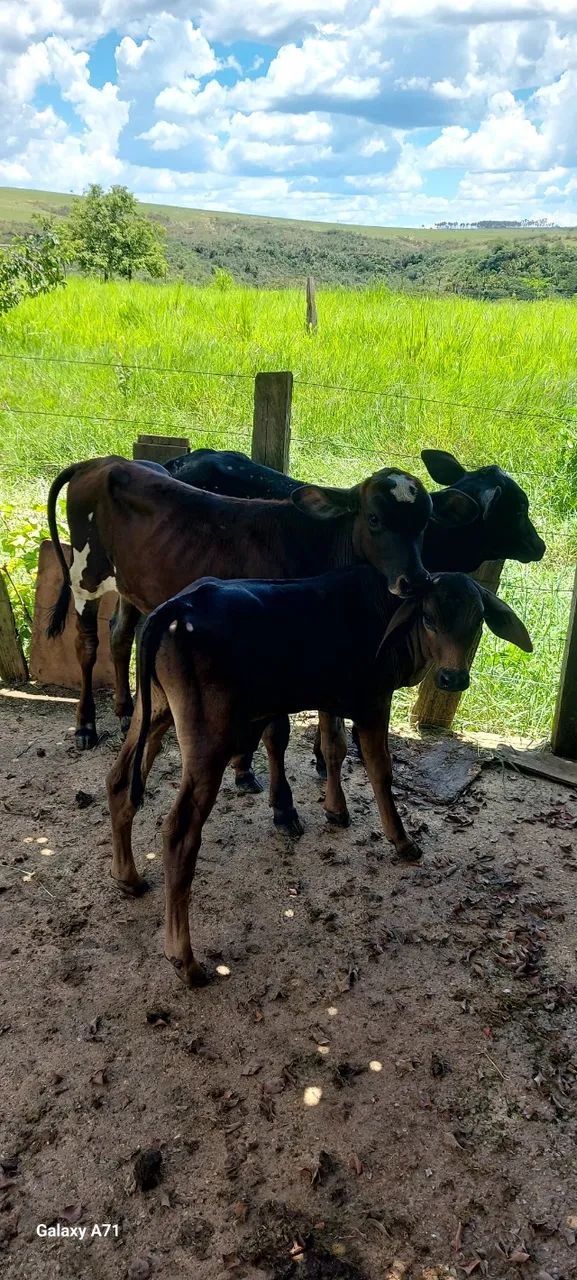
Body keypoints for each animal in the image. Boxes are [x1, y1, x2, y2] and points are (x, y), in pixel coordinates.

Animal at [47, 458, 459, 828]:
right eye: (374, 518)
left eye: (423, 524)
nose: (416, 579)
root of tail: (100, 462)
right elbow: (277, 735)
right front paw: (283, 807)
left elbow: (322, 733)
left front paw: (251, 774)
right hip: (85, 576)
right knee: (88, 645)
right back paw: (85, 726)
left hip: (128, 585)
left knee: (119, 636)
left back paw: (125, 710)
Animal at [106, 566, 532, 987]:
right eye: (428, 618)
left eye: (477, 620)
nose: (452, 679)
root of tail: (174, 608)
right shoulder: (373, 702)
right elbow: (379, 768)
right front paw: (401, 839)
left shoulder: (332, 698)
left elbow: (333, 747)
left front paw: (336, 810)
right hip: (208, 737)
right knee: (179, 833)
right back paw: (186, 962)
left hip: (155, 709)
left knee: (120, 783)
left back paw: (129, 878)